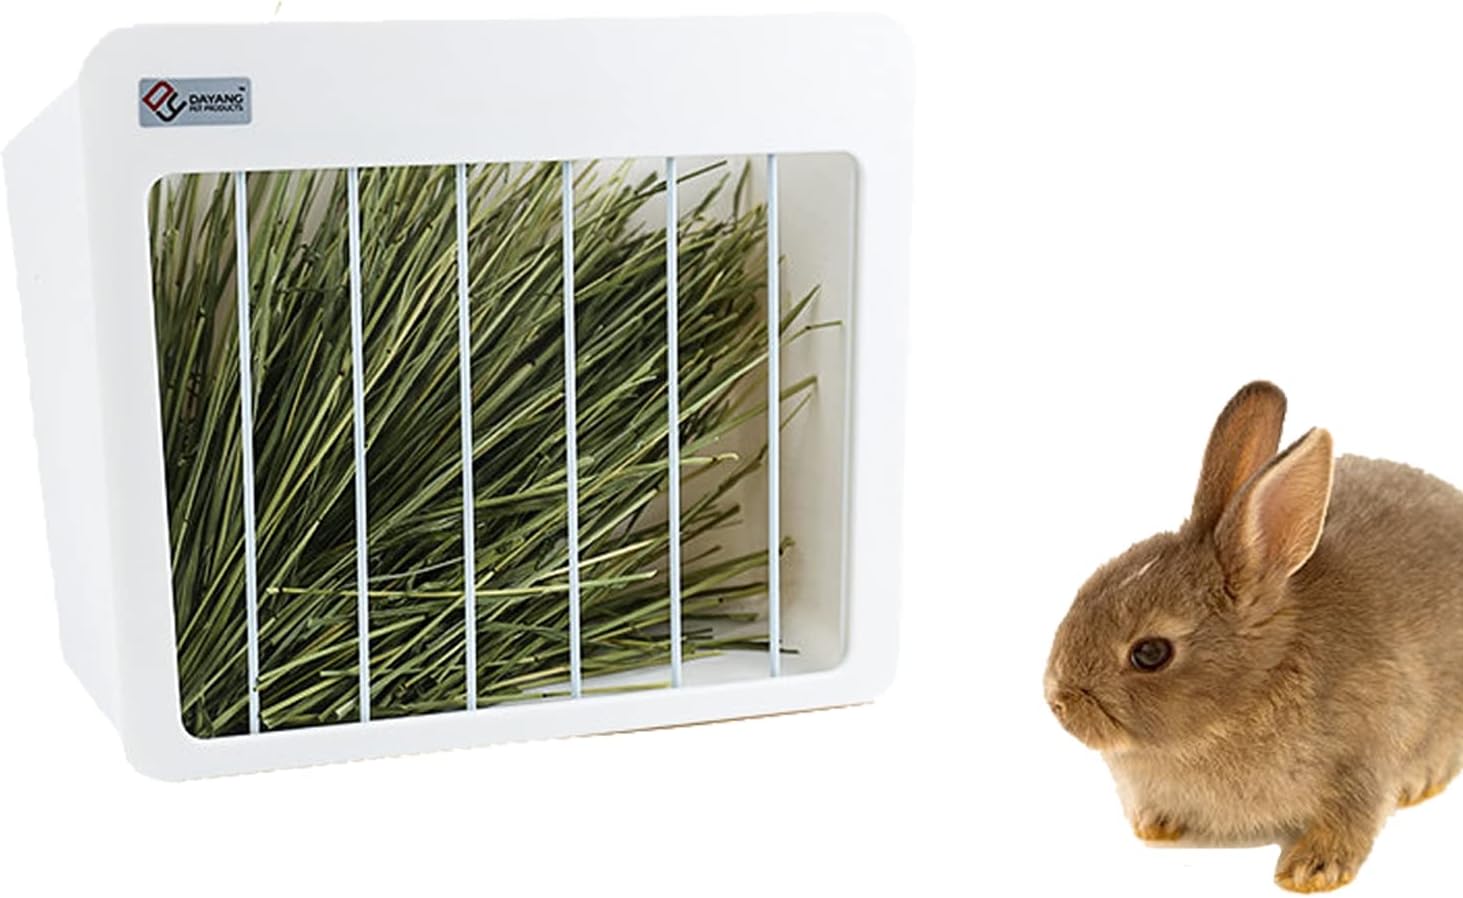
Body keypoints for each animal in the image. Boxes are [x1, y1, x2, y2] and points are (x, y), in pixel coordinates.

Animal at [1044, 381, 1463, 893]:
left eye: (1150, 653)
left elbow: (1352, 817)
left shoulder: (1367, 753)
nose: (1057, 701)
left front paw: (1310, 871)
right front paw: (1155, 825)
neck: (1259, 682)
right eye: (1086, 588)